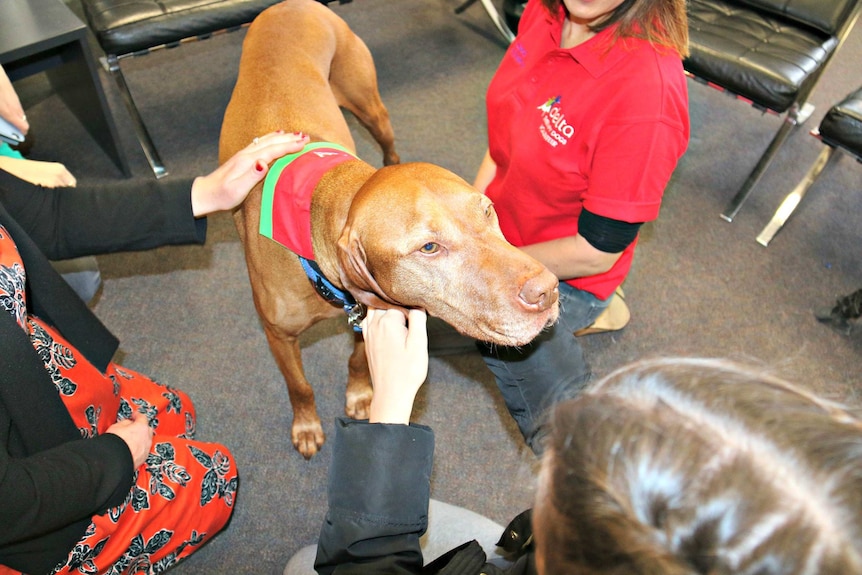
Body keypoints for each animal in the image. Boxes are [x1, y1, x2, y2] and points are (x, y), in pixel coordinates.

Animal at [219, 0, 564, 460]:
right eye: (429, 248)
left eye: (488, 211)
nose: (548, 291)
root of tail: (290, 5)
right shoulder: (279, 335)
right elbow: (300, 385)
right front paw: (307, 424)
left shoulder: (368, 311)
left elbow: (357, 360)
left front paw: (361, 394)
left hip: (372, 108)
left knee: (389, 144)